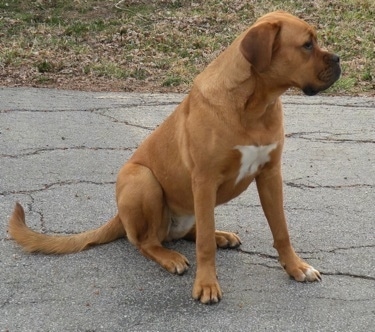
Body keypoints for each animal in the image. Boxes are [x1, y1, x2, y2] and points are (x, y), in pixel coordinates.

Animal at [7, 11, 342, 304]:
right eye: (307, 45)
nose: (339, 59)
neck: (255, 104)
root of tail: (118, 215)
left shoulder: (270, 174)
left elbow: (281, 230)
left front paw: (296, 268)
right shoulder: (205, 180)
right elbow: (203, 245)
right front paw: (206, 284)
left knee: (191, 230)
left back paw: (221, 236)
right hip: (143, 179)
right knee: (147, 242)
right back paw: (170, 258)